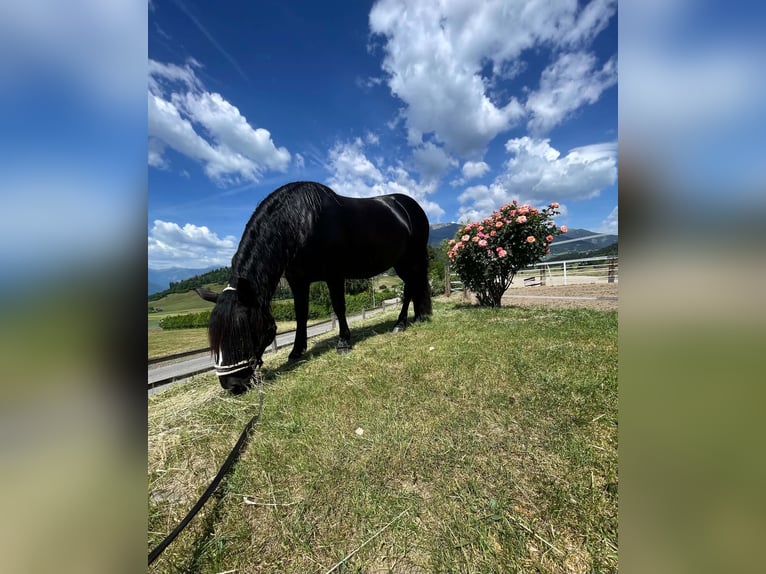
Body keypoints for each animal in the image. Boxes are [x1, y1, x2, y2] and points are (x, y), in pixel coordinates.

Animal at [195, 181, 432, 394]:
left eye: (242, 332)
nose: (231, 385)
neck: (300, 222)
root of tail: (408, 206)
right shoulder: (297, 281)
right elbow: (301, 314)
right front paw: (296, 351)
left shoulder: (334, 275)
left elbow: (338, 307)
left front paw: (343, 342)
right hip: (401, 262)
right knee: (413, 286)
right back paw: (417, 317)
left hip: (411, 259)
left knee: (410, 288)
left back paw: (400, 324)